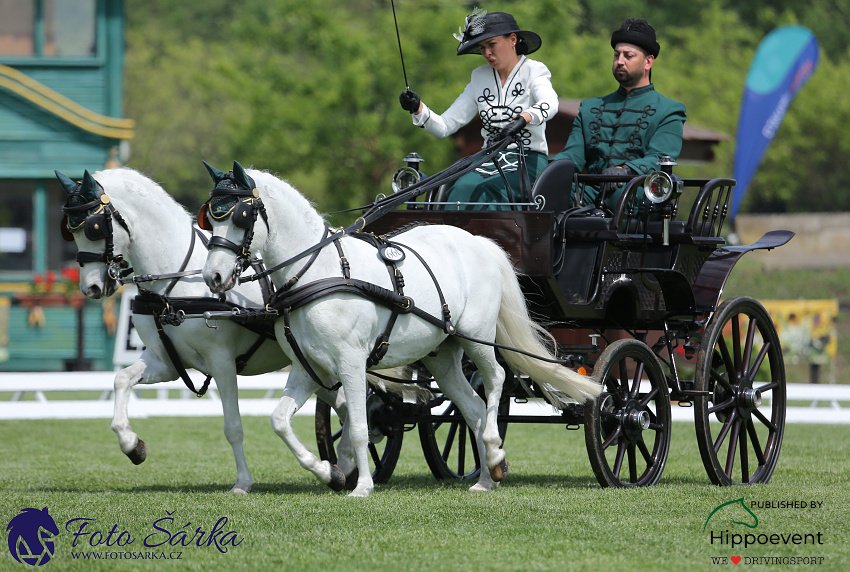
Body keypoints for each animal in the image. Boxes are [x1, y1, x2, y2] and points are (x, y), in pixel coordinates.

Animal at [56, 168, 354, 494]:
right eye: (70, 229)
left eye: (94, 227)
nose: (92, 287)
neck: (176, 281)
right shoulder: (165, 362)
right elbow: (121, 379)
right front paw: (133, 445)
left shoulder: (221, 362)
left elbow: (233, 426)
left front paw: (242, 483)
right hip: (315, 366)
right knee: (344, 405)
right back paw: (344, 466)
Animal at [201, 160, 600, 496]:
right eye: (211, 219)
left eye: (241, 216)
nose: (213, 277)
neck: (319, 271)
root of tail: (479, 242)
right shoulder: (309, 367)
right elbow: (280, 420)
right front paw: (328, 471)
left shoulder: (350, 362)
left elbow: (358, 427)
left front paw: (361, 487)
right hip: (443, 355)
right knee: (470, 408)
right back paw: (486, 477)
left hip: (479, 338)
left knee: (496, 381)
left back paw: (494, 452)